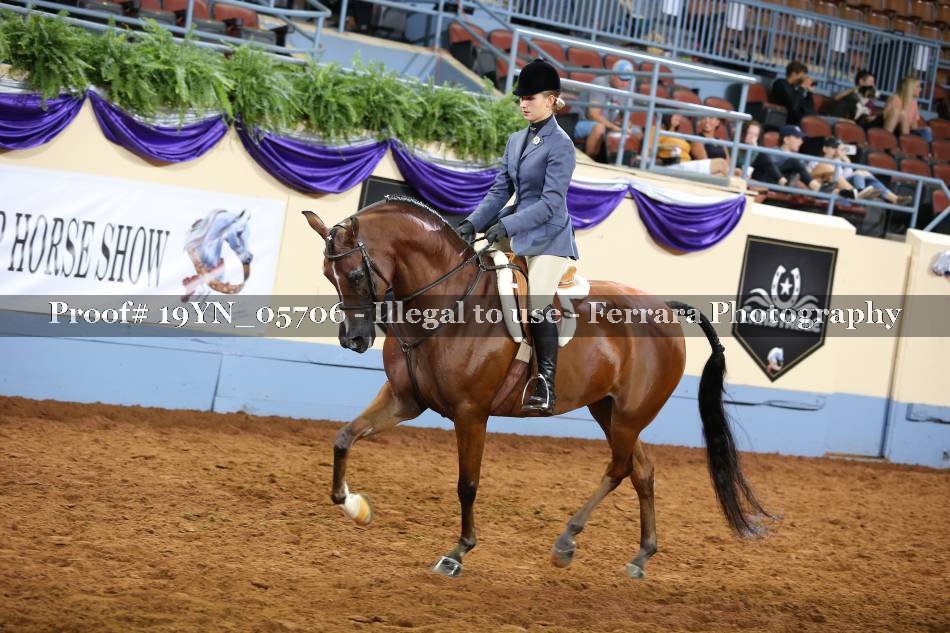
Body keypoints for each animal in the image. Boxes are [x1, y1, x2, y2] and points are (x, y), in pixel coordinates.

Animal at [303, 196, 768, 579]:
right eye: (327, 274)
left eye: (356, 273)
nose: (353, 339)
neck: (448, 302)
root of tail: (666, 309)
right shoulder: (405, 399)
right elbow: (344, 437)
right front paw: (353, 504)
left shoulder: (471, 413)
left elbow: (467, 484)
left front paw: (458, 553)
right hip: (609, 411)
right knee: (643, 470)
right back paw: (639, 557)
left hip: (628, 416)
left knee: (619, 469)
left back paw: (566, 541)